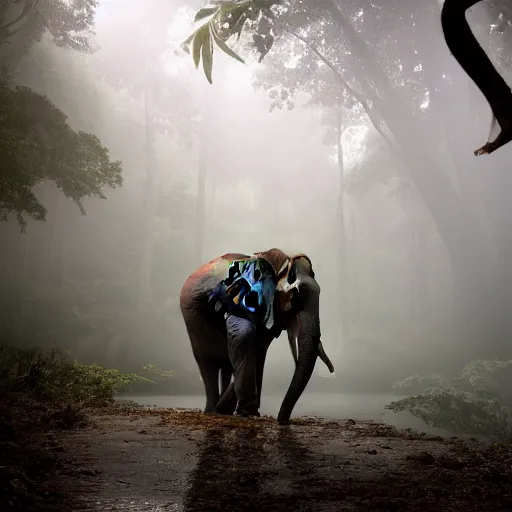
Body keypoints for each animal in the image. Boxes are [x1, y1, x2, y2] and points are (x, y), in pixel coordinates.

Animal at [178, 248, 334, 424]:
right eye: (292, 295)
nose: (283, 421)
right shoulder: (241, 297)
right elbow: (244, 336)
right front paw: (245, 413)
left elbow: (259, 347)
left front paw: (250, 413)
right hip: (192, 319)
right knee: (207, 363)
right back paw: (211, 411)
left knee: (226, 365)